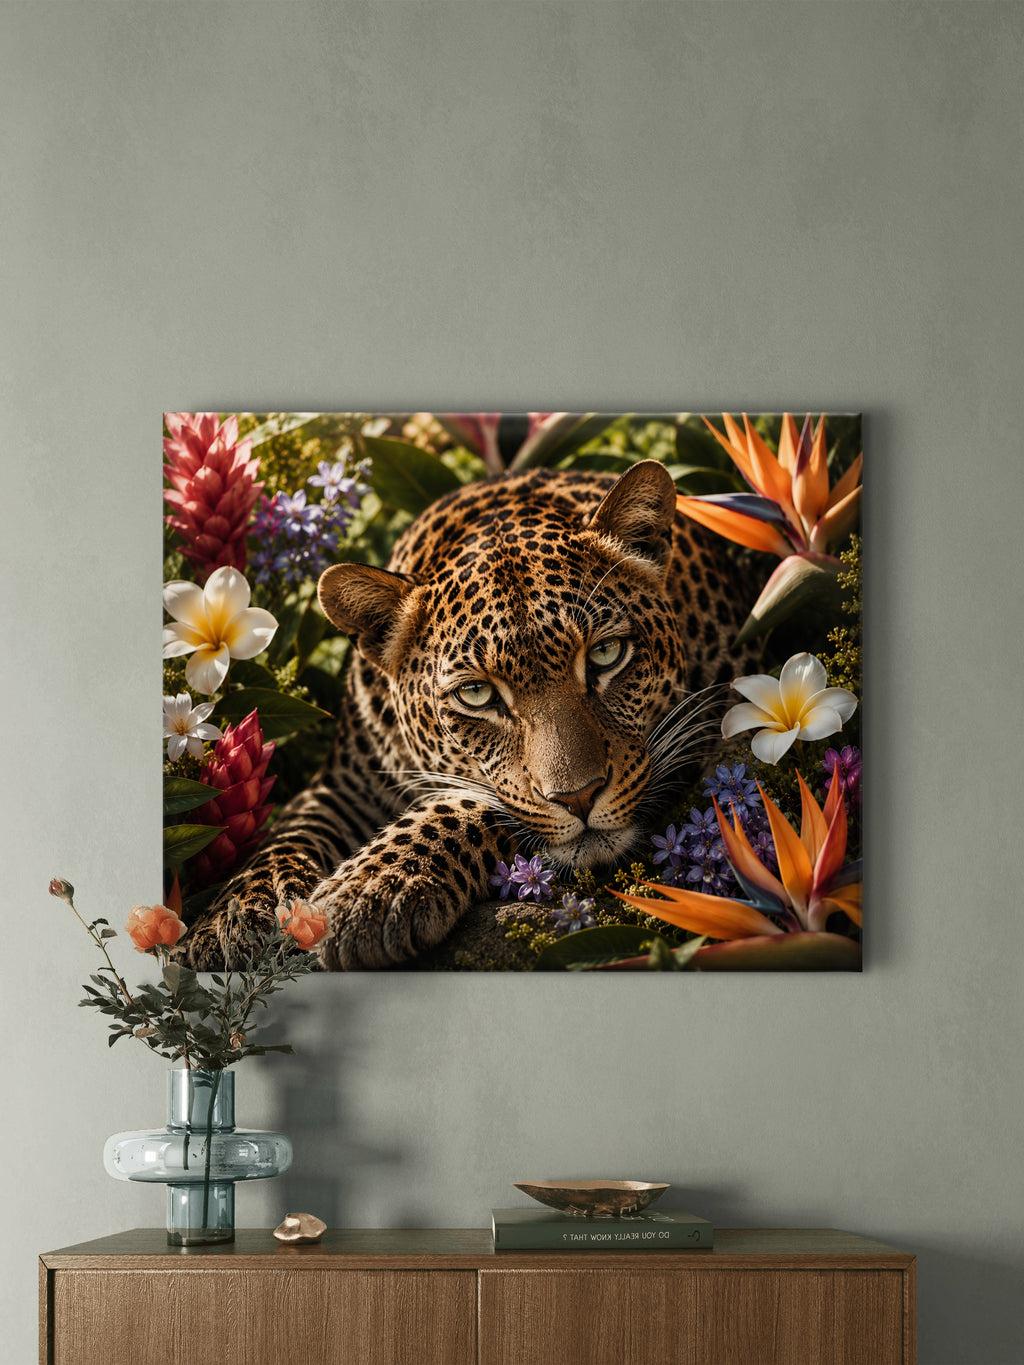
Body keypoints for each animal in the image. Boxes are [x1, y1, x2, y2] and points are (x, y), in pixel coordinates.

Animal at [184, 460, 755, 971]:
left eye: (605, 654)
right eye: (477, 695)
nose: (580, 797)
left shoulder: (700, 736)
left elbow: (476, 804)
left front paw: (370, 889)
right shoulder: (341, 786)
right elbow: (284, 837)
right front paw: (235, 917)